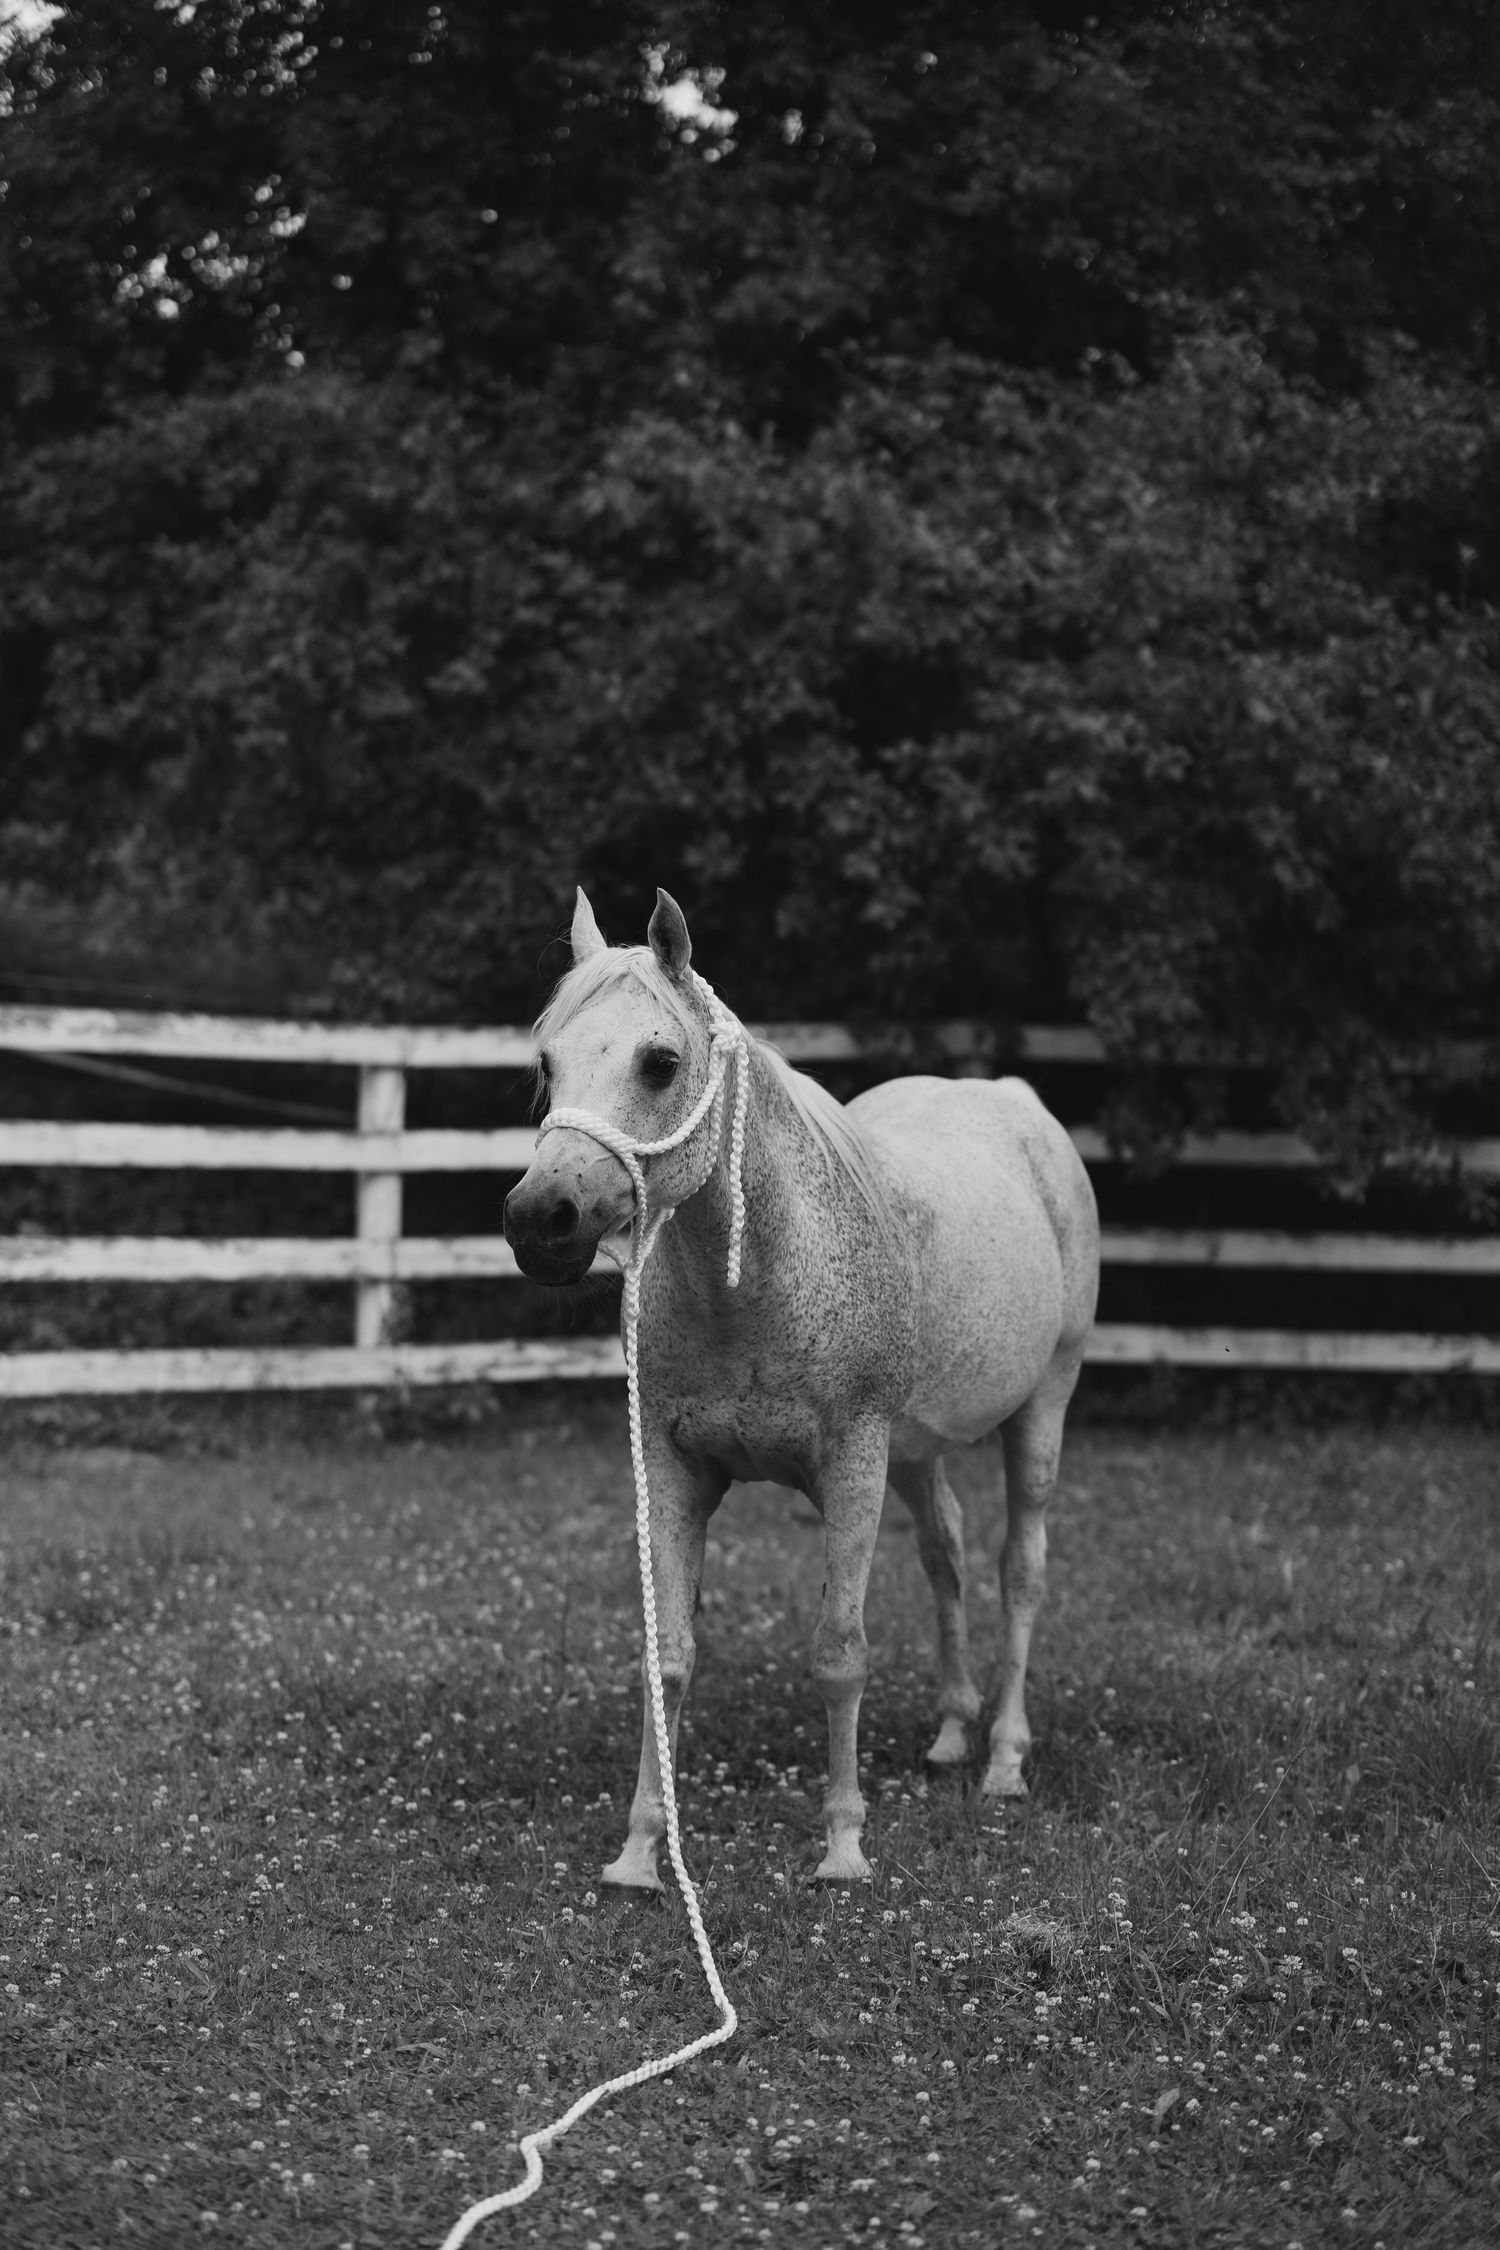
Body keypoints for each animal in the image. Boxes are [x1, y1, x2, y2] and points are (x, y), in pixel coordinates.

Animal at [502, 888, 1100, 1885]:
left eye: (660, 1062)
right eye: (547, 1063)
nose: (538, 1219)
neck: (752, 1282)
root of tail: (1017, 1103)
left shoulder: (852, 1467)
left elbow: (840, 1654)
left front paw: (844, 1846)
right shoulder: (672, 1471)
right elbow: (669, 1658)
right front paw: (639, 1852)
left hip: (1042, 1409)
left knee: (1022, 1569)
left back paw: (1005, 1761)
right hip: (917, 1453)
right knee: (946, 1552)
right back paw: (951, 1734)